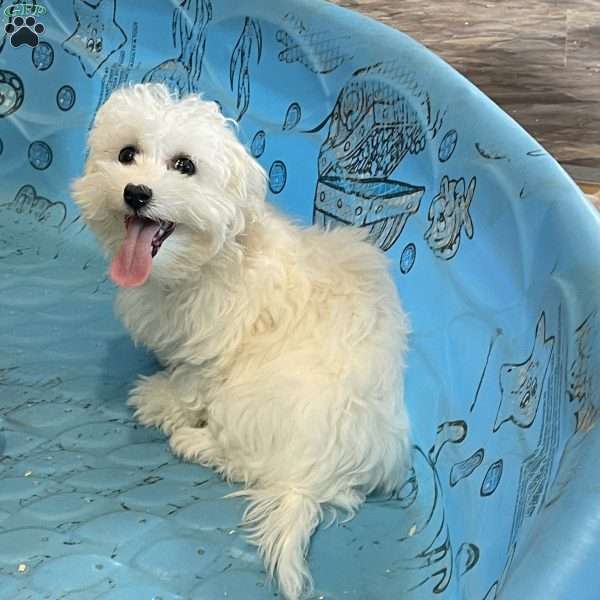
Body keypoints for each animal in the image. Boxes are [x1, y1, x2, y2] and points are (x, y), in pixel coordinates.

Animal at [72, 84, 412, 600]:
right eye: (126, 154)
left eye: (184, 165)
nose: (136, 192)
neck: (207, 260)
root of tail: (314, 478)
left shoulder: (216, 348)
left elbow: (188, 383)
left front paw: (159, 399)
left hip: (250, 398)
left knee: (245, 459)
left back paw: (195, 442)